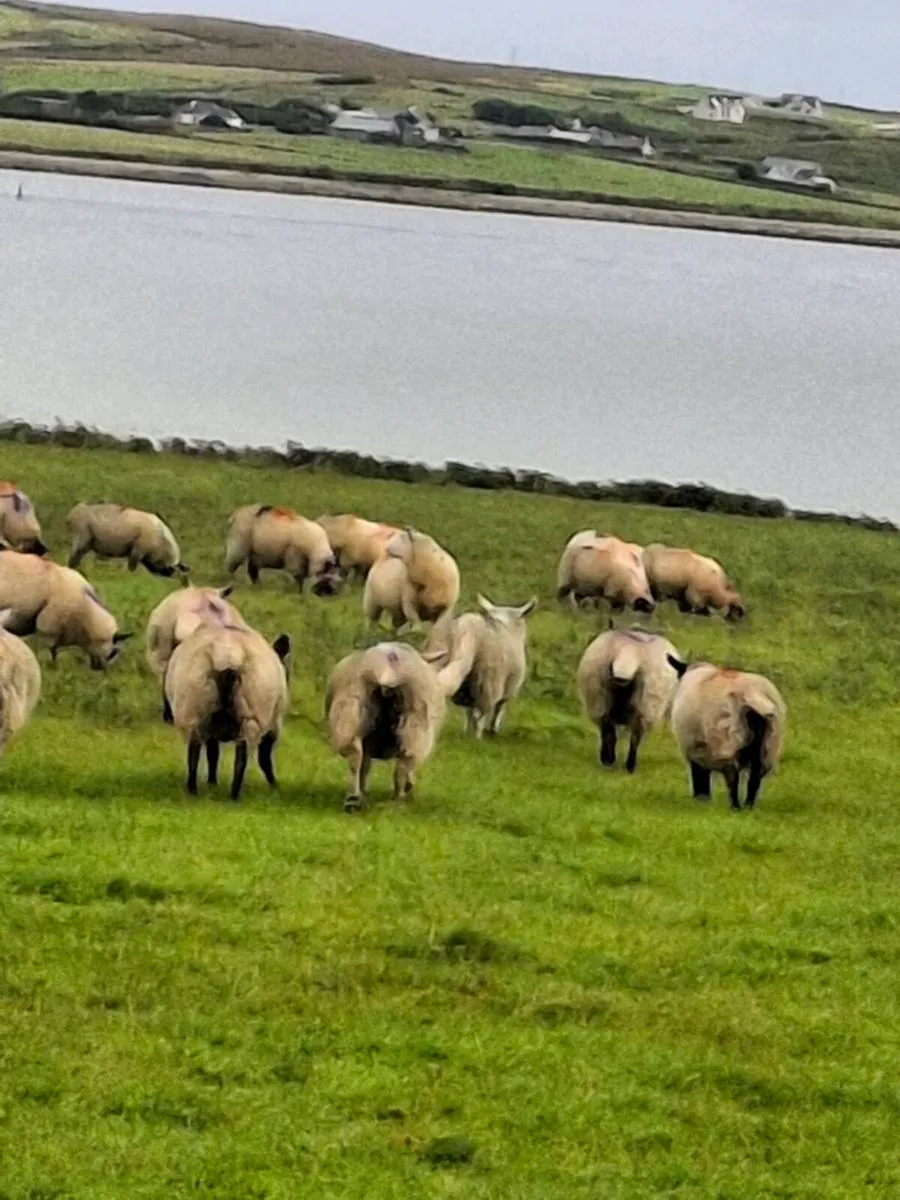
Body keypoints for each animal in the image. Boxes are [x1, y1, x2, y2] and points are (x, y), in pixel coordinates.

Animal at [165, 624, 291, 800]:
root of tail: (227, 654)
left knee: (194, 749)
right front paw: (274, 786)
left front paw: (212, 783)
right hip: (250, 714)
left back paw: (193, 790)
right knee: (241, 756)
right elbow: (264, 757)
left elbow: (213, 753)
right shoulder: (274, 723)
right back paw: (234, 794)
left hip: (196, 708)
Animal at [326, 641, 456, 812]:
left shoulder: (368, 742)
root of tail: (389, 664)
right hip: (416, 723)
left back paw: (354, 799)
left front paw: (364, 790)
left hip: (349, 713)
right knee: (404, 763)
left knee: (355, 756)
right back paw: (397, 800)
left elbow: (365, 766)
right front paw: (409, 787)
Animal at [426, 595, 537, 737]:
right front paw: (492, 730)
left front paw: (467, 731)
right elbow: (498, 709)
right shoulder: (509, 688)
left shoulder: (468, 690)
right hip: (487, 681)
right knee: (480, 713)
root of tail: (463, 629)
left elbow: (468, 713)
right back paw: (477, 737)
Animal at [577, 627, 681, 772]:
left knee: (608, 730)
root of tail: (628, 650)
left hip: (599, 695)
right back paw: (627, 765)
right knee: (633, 737)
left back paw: (610, 760)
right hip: (647, 702)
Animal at [668, 659, 786, 810]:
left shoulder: (694, 748)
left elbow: (700, 776)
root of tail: (753, 694)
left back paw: (735, 807)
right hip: (768, 743)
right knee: (755, 776)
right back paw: (748, 807)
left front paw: (701, 800)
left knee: (732, 776)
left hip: (726, 738)